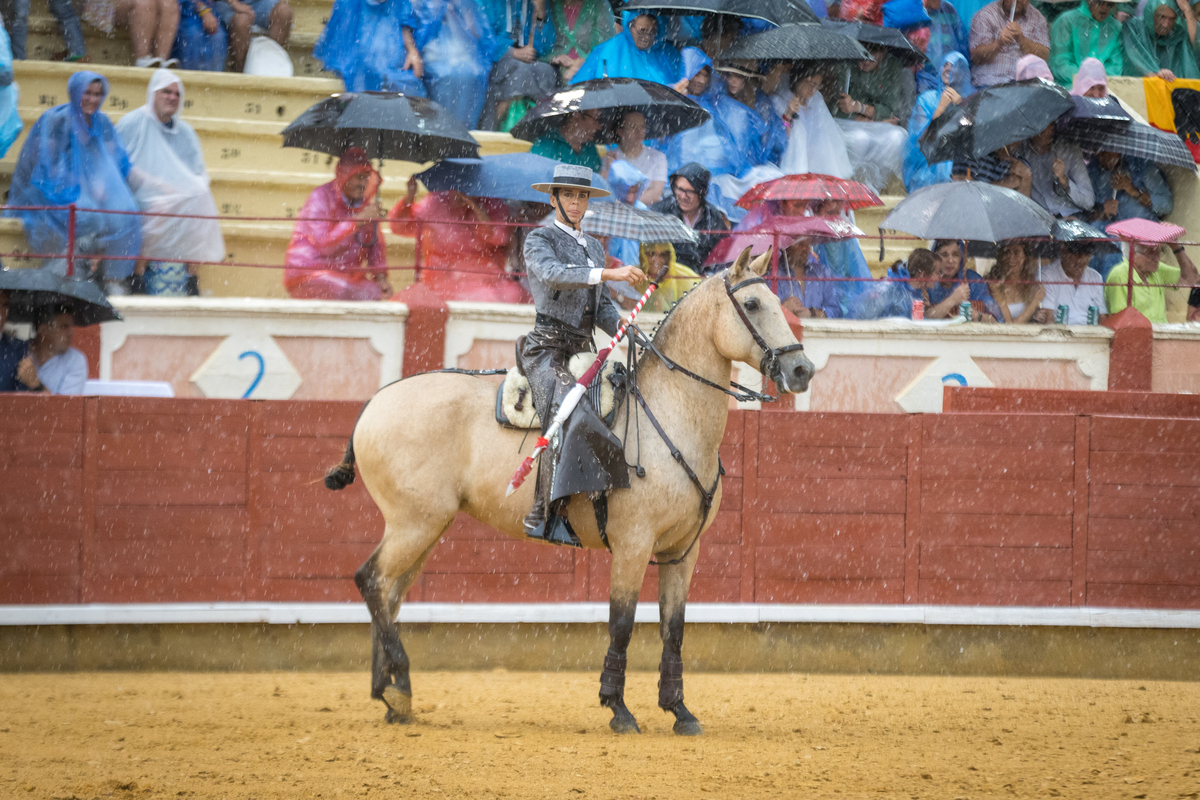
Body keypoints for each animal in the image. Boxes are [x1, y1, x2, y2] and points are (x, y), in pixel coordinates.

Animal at [326, 247, 816, 734]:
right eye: (752, 304)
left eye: (777, 301)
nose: (802, 369)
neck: (668, 413)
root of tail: (375, 402)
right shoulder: (633, 544)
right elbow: (622, 623)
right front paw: (618, 708)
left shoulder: (682, 550)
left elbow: (674, 628)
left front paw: (679, 710)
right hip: (414, 523)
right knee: (372, 580)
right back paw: (398, 685)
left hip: (427, 526)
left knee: (389, 593)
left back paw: (391, 695)